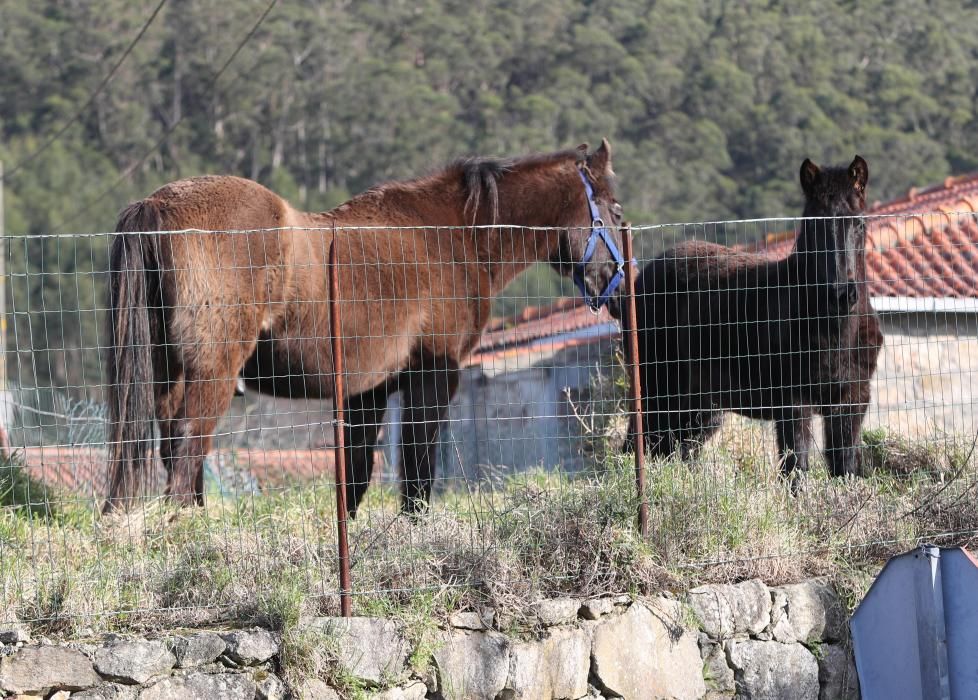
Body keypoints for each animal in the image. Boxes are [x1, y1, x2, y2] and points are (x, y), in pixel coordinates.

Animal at [105, 139, 624, 516]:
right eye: (616, 212)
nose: (619, 285)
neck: (452, 237)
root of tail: (156, 205)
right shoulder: (432, 378)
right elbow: (416, 468)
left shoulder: (367, 392)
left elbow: (356, 474)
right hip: (212, 371)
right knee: (188, 446)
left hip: (170, 374)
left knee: (176, 449)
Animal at [624, 154, 884, 482]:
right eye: (813, 225)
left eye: (859, 223)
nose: (841, 294)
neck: (836, 331)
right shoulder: (793, 402)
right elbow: (796, 468)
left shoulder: (850, 401)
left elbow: (845, 467)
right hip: (657, 390)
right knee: (641, 447)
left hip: (700, 406)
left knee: (677, 451)